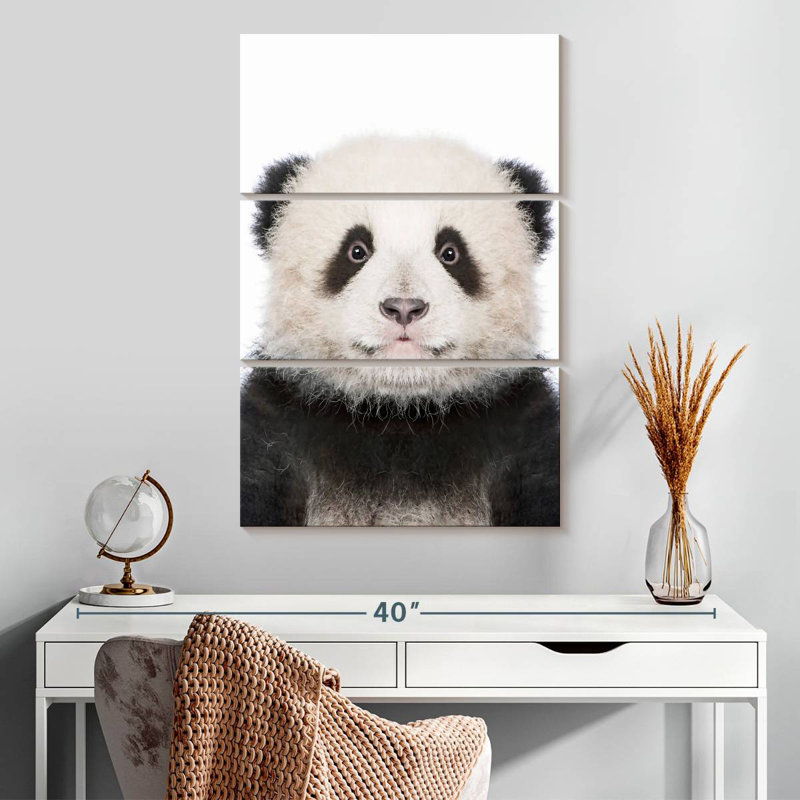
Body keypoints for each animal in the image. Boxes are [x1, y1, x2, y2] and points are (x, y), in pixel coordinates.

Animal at [241, 136, 559, 527]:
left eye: (451, 252)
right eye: (356, 251)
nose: (404, 307)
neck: (399, 413)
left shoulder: (523, 430)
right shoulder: (275, 427)